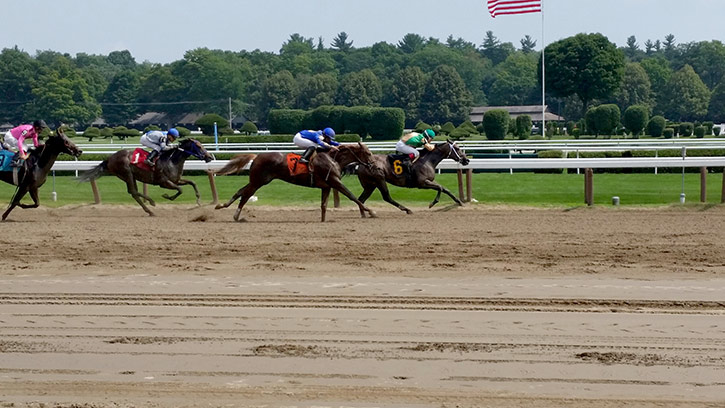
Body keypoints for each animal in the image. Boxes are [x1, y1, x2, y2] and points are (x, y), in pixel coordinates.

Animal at [80, 138, 215, 217]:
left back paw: (150, 209)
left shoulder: (176, 180)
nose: (209, 157)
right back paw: (151, 204)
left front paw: (198, 200)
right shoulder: (164, 182)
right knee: (134, 192)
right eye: (198, 146)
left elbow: (192, 183)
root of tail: (110, 158)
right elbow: (180, 190)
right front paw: (167, 196)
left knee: (133, 192)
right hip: (127, 173)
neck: (172, 161)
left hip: (127, 176)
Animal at [212, 142, 382, 222]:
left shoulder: (326, 186)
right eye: (368, 153)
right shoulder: (335, 182)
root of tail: (257, 156)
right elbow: (352, 196)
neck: (333, 159)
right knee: (246, 195)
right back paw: (235, 215)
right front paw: (371, 211)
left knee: (241, 191)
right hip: (258, 181)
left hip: (258, 180)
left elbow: (324, 205)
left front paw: (323, 221)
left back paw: (223, 206)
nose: (375, 166)